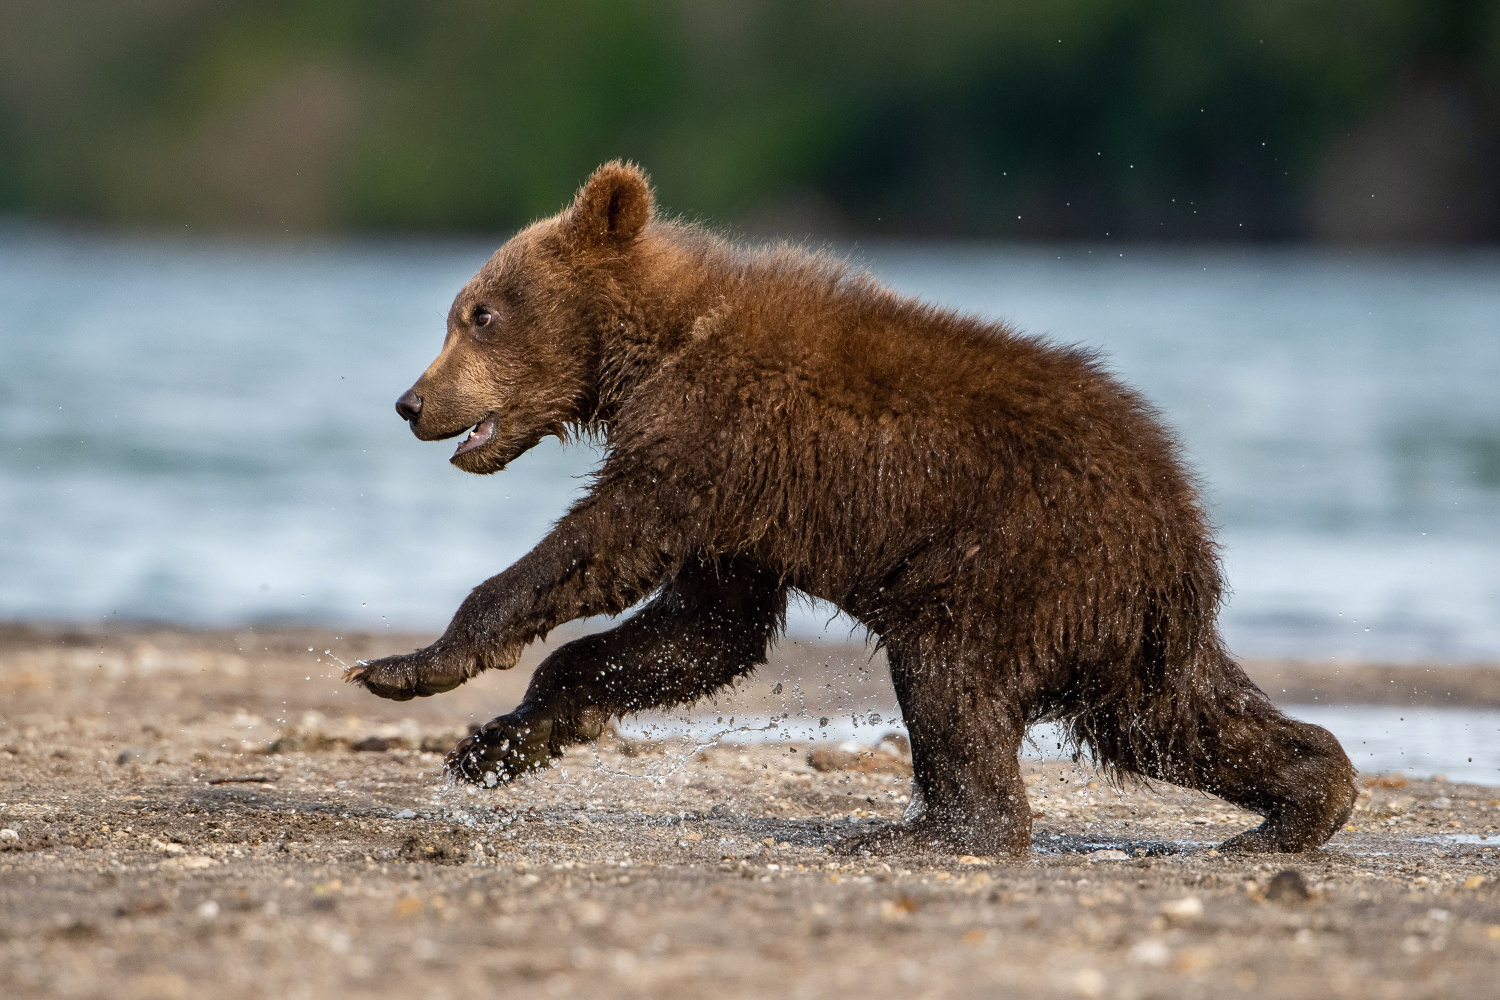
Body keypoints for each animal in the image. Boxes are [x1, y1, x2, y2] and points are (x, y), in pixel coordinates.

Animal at [351, 160, 1362, 857]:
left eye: (478, 313)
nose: (410, 403)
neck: (651, 352)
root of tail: (1180, 528)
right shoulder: (738, 508)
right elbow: (701, 630)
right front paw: (497, 745)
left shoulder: (711, 439)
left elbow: (600, 549)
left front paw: (408, 666)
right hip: (1123, 636)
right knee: (1174, 723)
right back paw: (1301, 805)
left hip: (1007, 561)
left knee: (951, 682)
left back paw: (927, 830)